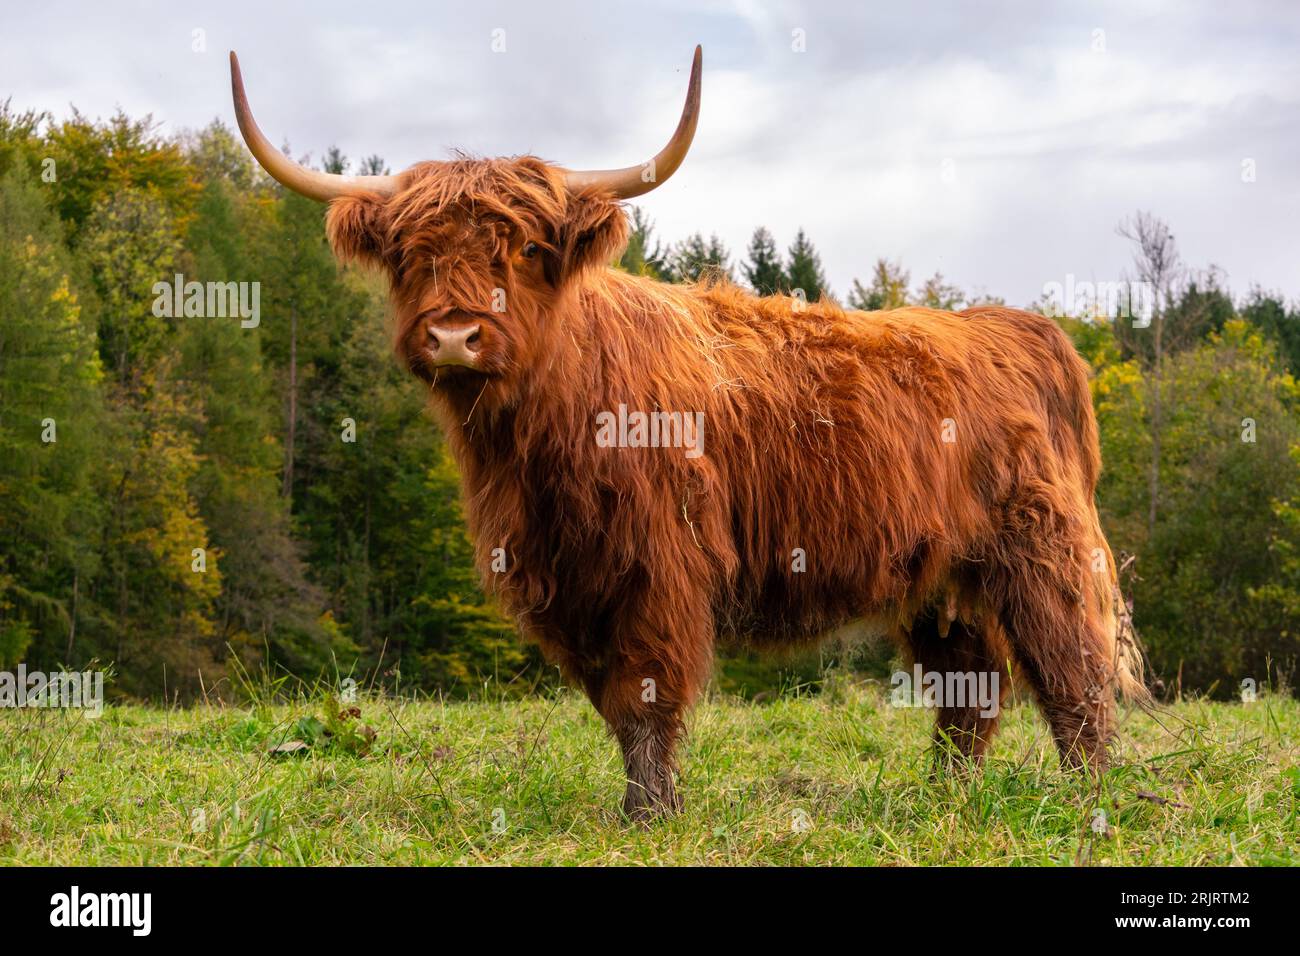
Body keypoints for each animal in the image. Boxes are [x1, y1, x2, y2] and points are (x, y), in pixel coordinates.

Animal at [233, 46, 1149, 822]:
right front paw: (641, 804)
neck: (537, 442)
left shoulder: (658, 564)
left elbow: (645, 694)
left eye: (524, 249)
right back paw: (944, 799)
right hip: (943, 571)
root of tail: (1020, 327)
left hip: (1041, 545)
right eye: (411, 254)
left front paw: (651, 815)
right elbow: (610, 701)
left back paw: (1087, 800)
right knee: (970, 685)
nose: (455, 335)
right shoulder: (568, 578)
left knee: (1074, 674)